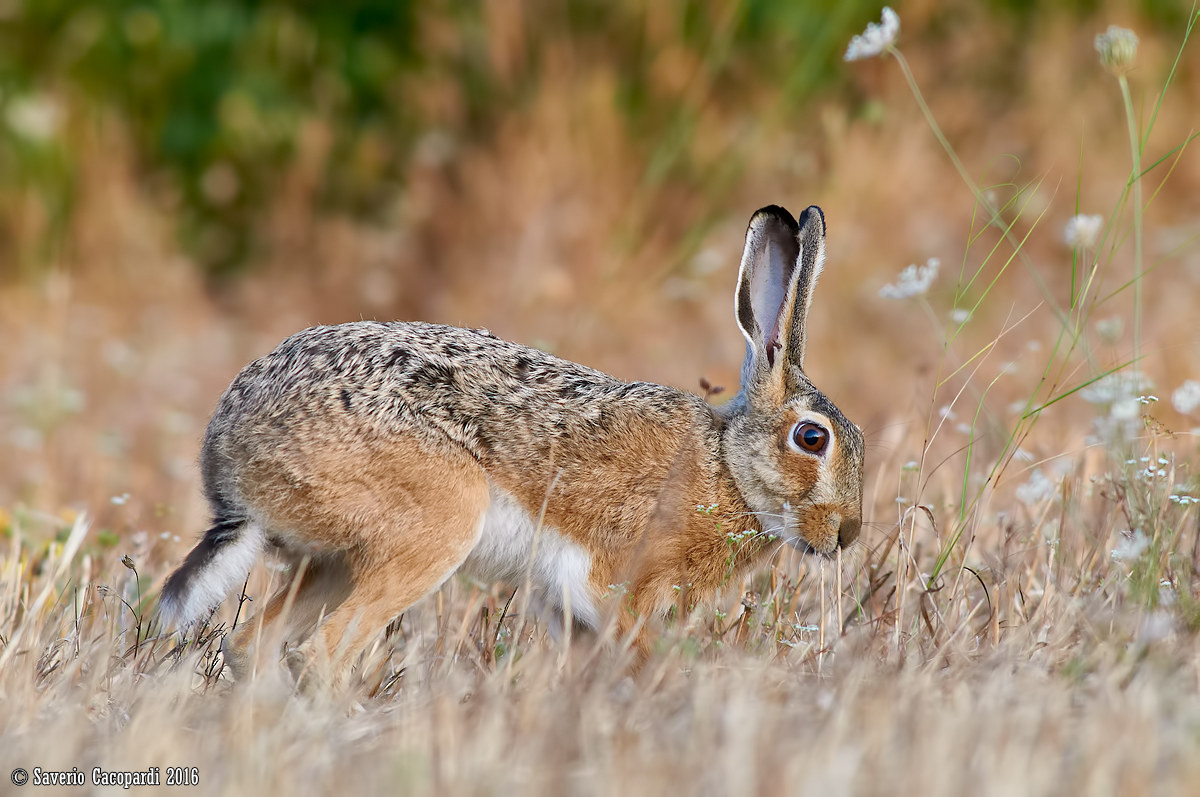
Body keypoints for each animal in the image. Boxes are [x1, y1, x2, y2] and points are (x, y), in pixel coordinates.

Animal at [158, 204, 864, 687]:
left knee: (253, 645)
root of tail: (231, 463)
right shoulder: (620, 587)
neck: (728, 470)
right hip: (432, 527)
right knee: (320, 653)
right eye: (812, 438)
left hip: (332, 560)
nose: (847, 534)